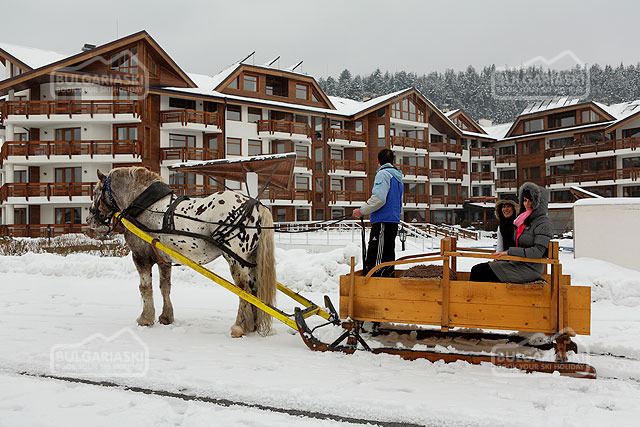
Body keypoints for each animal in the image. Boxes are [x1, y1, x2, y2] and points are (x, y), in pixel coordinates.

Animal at [85, 167, 276, 338]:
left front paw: (145, 318)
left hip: (236, 259)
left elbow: (145, 287)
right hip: (250, 259)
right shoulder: (163, 259)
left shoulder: (140, 257)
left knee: (244, 289)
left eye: (96, 192)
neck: (146, 207)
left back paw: (239, 327)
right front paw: (166, 317)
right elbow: (165, 287)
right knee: (254, 288)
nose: (89, 219)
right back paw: (252, 325)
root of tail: (256, 206)